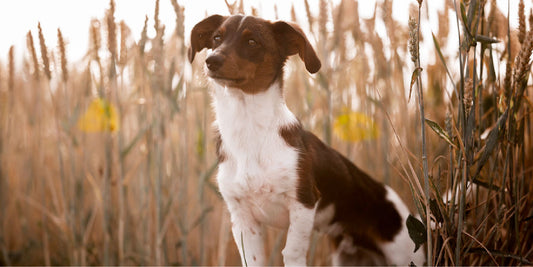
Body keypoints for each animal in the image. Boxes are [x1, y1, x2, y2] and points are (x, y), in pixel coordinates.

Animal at [187, 15, 424, 267]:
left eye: (252, 42)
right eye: (216, 38)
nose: (211, 60)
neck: (249, 131)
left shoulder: (304, 202)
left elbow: (291, 252)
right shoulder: (242, 216)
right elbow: (253, 259)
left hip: (406, 254)